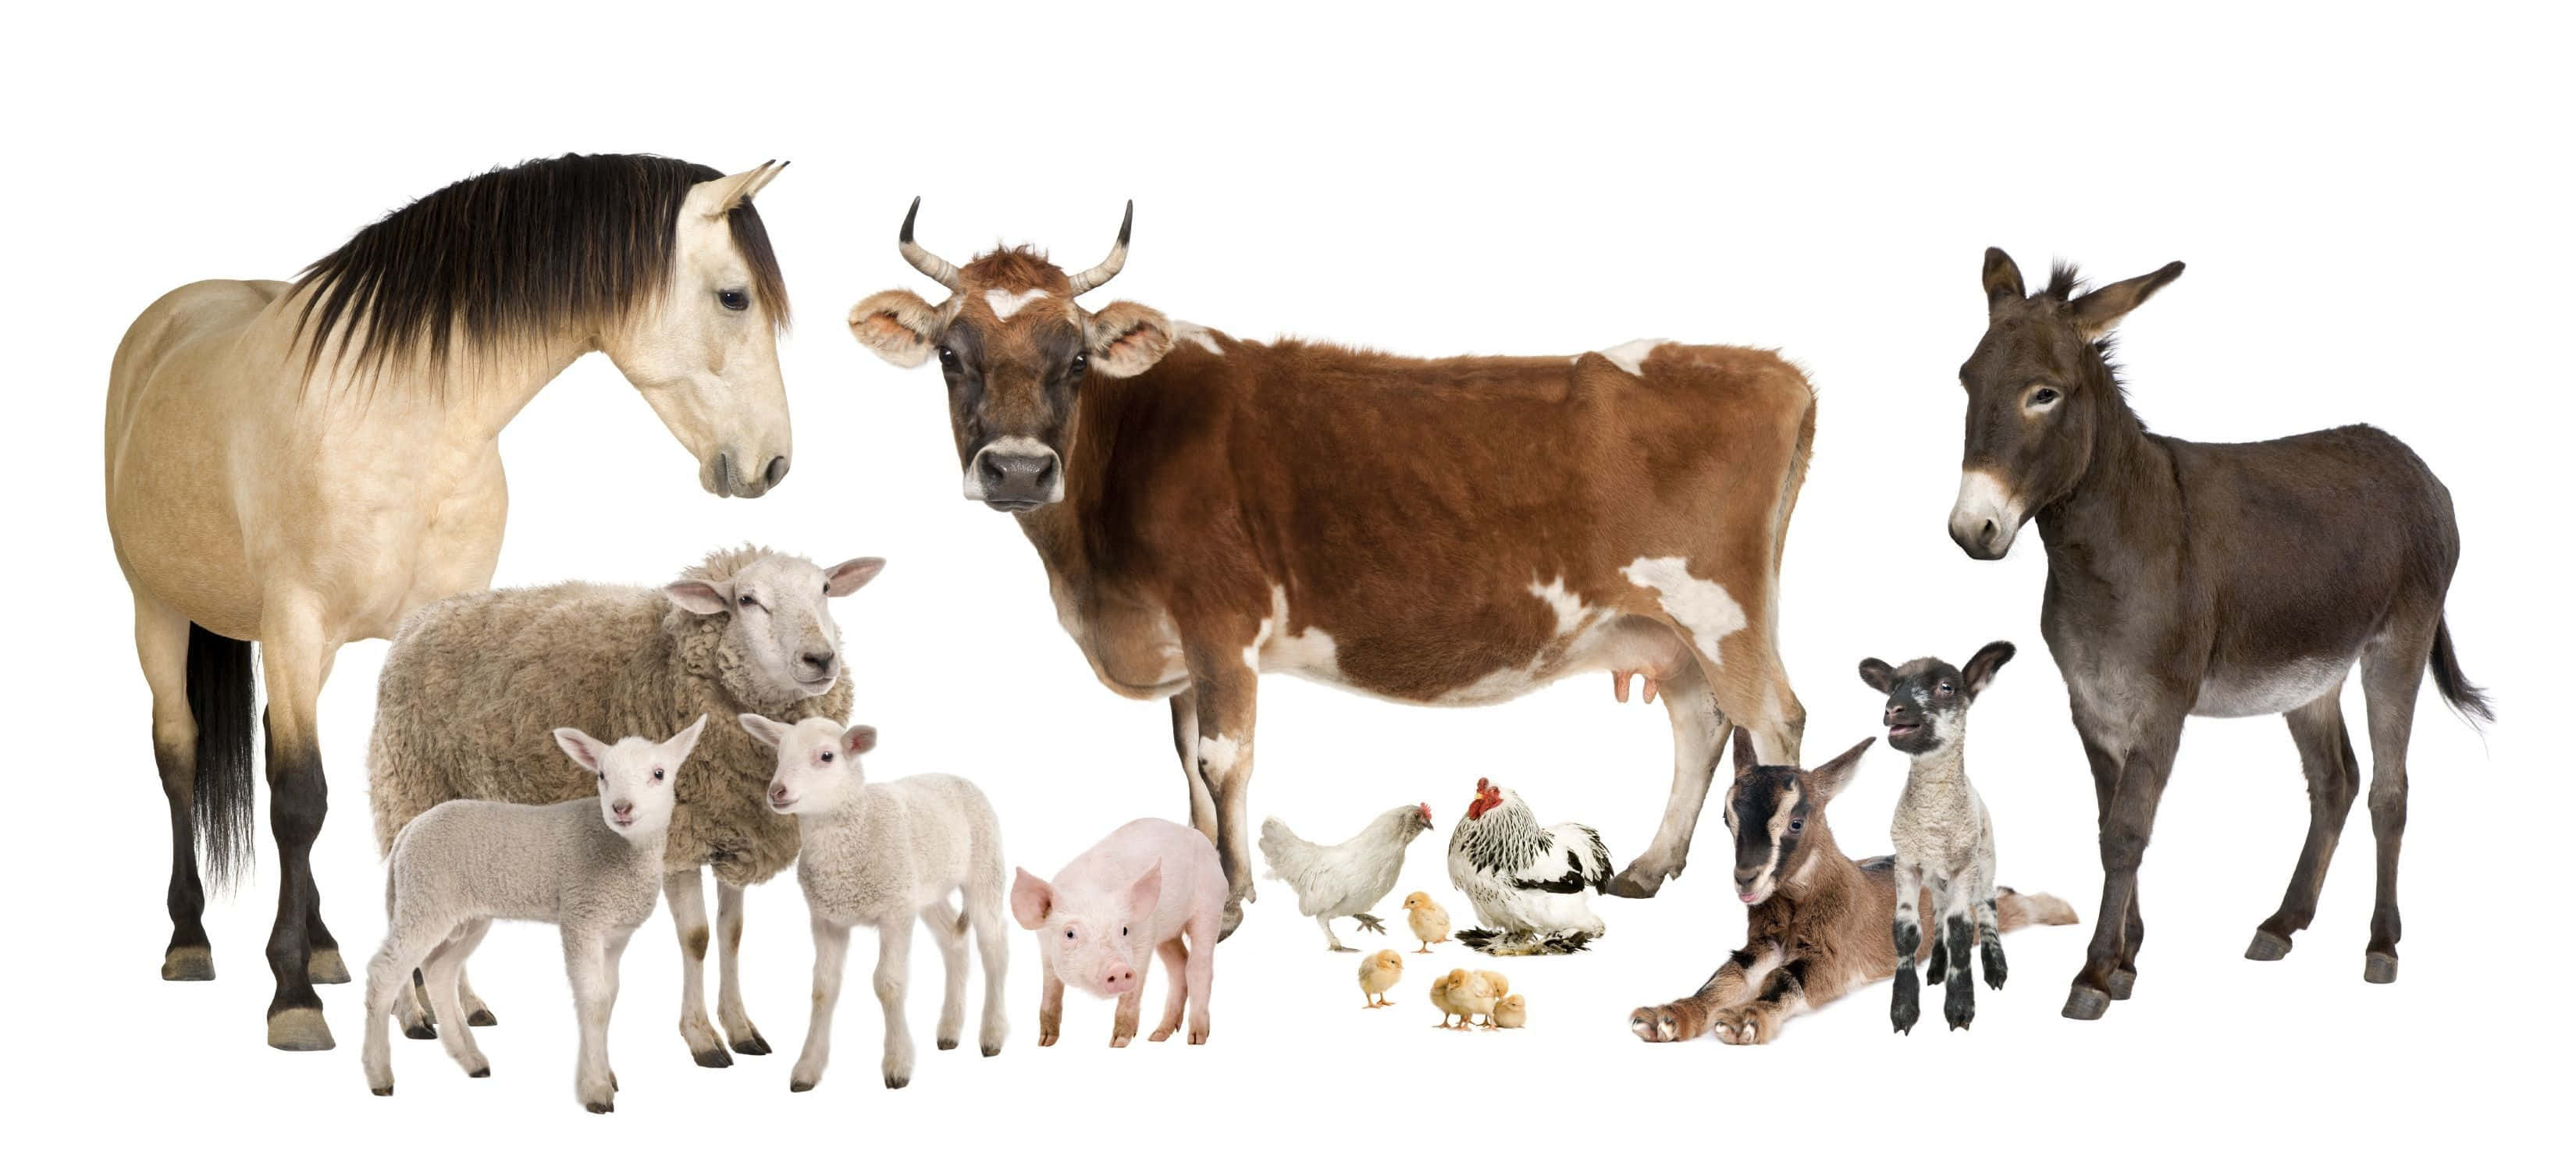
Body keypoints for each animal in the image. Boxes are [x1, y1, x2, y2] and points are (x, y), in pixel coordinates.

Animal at [105, 152, 796, 1050]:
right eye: (734, 297)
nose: (773, 463)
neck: (399, 421)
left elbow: (402, 799)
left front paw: (433, 992)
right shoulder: (294, 625)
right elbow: (299, 800)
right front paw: (293, 997)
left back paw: (325, 943)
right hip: (158, 611)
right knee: (181, 756)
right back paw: (190, 939)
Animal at [1946, 250, 2490, 1020]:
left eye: (2044, 394)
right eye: (1967, 379)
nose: (1973, 530)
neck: (2113, 540)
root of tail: (2413, 461)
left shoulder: (2162, 706)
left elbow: (2127, 833)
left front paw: (2095, 973)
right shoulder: (2091, 704)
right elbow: (2109, 823)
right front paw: (2126, 959)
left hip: (2398, 645)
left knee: (2390, 791)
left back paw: (2381, 945)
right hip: (2311, 674)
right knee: (2336, 781)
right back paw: (2282, 924)